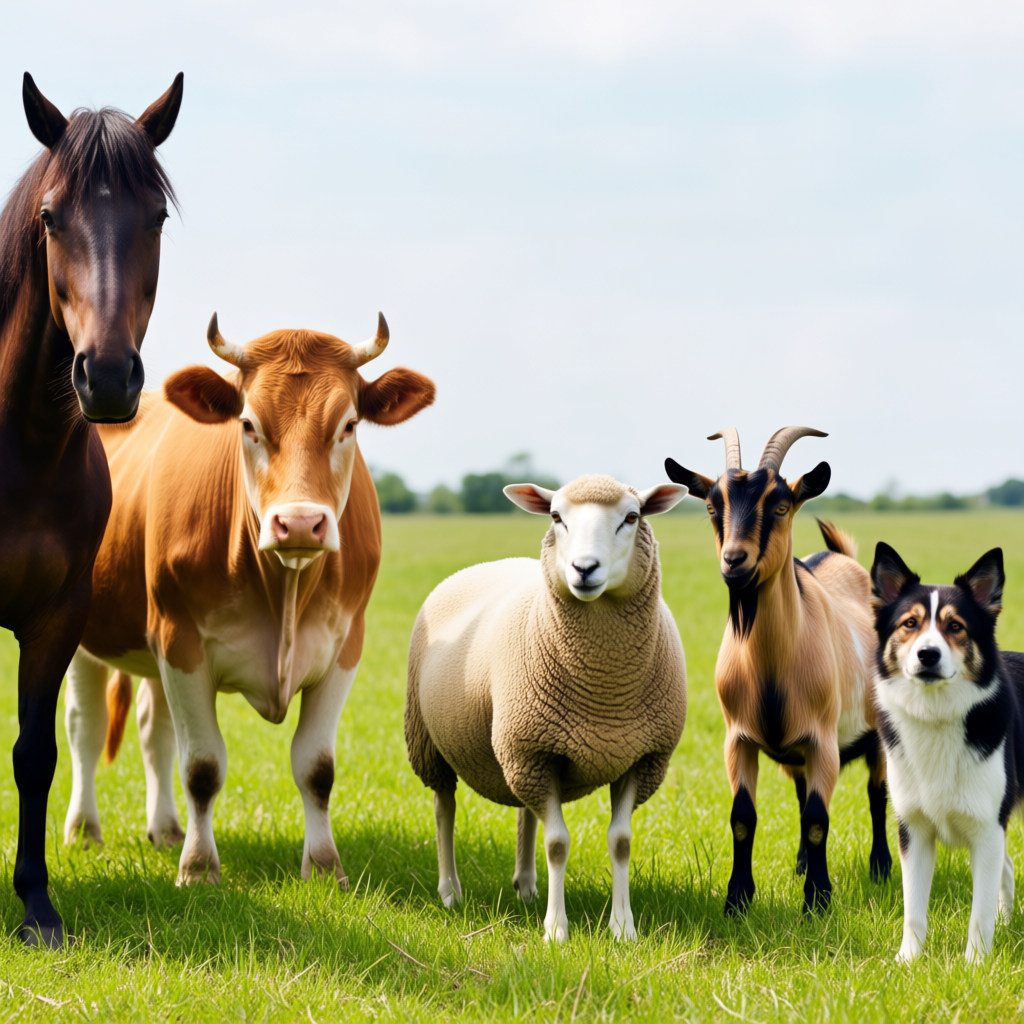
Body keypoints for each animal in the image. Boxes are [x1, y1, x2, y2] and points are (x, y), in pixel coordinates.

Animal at [62, 312, 434, 887]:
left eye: (349, 425)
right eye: (248, 424)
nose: (300, 522)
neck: (284, 591)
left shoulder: (344, 647)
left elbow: (316, 767)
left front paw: (324, 867)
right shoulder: (181, 641)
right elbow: (202, 766)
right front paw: (198, 868)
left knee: (153, 727)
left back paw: (165, 829)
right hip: (89, 633)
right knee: (86, 726)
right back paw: (84, 829)